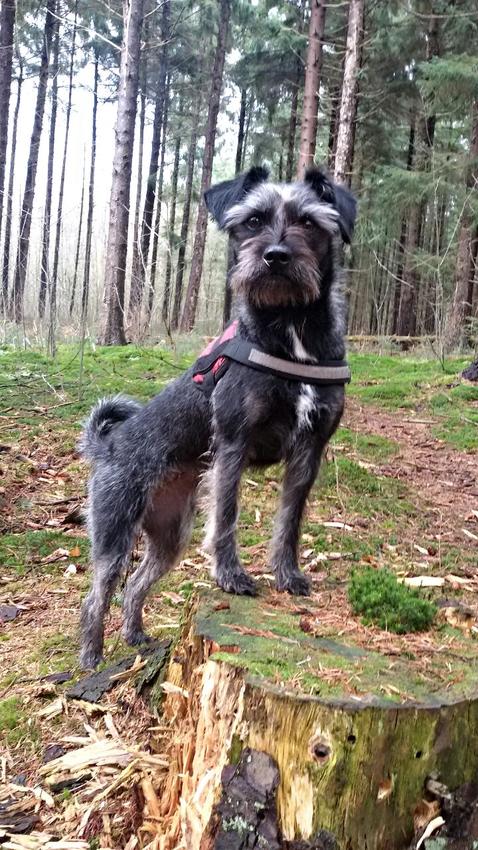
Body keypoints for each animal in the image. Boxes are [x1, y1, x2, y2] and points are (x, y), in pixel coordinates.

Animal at [78, 166, 356, 669]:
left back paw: (136, 635)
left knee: (135, 584)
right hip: (114, 529)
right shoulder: (232, 443)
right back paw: (90, 657)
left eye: (309, 222)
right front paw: (230, 576)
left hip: (170, 534)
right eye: (252, 220)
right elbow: (226, 515)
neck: (291, 331)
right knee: (97, 593)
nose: (275, 256)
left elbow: (290, 520)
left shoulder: (310, 449)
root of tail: (106, 445)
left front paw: (287, 575)